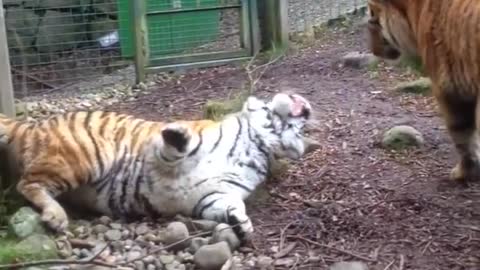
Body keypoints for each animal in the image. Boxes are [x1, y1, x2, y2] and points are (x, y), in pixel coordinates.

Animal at [0, 92, 314, 238]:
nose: (308, 109)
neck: (258, 146)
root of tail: (32, 125)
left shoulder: (213, 195)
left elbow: (230, 205)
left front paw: (241, 224)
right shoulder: (158, 153)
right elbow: (175, 147)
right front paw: (176, 135)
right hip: (87, 156)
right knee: (26, 183)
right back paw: (56, 216)